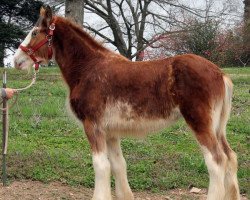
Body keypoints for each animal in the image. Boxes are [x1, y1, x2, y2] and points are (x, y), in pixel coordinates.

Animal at [13, 5, 240, 200]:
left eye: (35, 32)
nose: (16, 61)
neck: (88, 68)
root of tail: (220, 74)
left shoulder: (92, 125)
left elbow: (101, 166)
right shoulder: (111, 132)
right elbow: (118, 165)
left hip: (200, 122)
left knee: (216, 161)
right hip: (218, 126)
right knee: (230, 157)